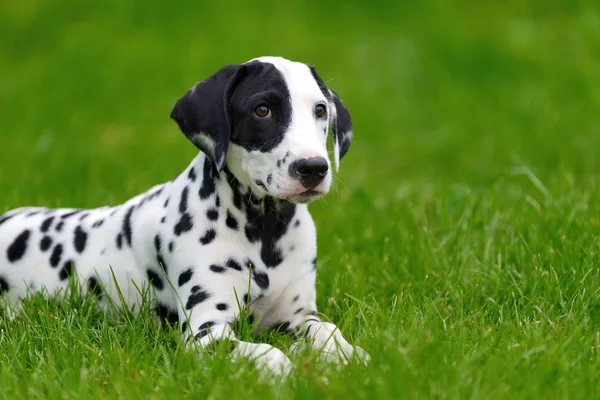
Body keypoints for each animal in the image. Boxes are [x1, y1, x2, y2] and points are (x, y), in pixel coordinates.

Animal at [0, 55, 366, 376]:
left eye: (320, 109)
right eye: (262, 110)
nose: (313, 168)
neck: (264, 231)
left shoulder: (298, 315)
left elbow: (327, 331)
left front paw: (347, 355)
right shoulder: (206, 332)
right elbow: (265, 352)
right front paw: (284, 369)